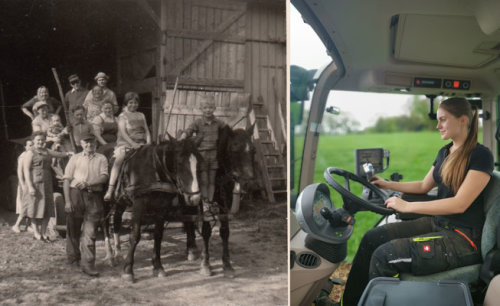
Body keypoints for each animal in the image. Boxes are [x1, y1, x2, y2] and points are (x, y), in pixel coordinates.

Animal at [100, 136, 202, 282]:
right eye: (180, 163)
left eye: (198, 163)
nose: (195, 198)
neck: (154, 171)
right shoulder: (138, 205)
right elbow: (134, 236)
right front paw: (128, 271)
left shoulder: (161, 208)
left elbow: (158, 235)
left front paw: (158, 267)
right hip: (103, 201)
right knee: (104, 222)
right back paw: (109, 256)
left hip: (120, 201)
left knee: (117, 221)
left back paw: (118, 253)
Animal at [186, 123, 260, 278]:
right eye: (234, 148)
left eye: (254, 150)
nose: (250, 184)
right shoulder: (203, 202)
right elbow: (206, 230)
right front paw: (205, 264)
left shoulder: (224, 202)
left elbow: (225, 231)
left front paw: (227, 264)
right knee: (188, 221)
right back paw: (191, 249)